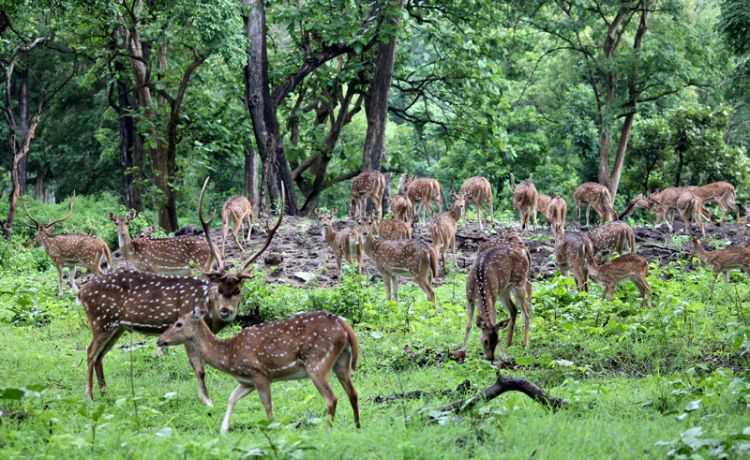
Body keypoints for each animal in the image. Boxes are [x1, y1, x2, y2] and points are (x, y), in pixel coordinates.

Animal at [80, 178, 284, 404]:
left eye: (238, 290)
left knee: (100, 355)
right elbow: (199, 369)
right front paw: (206, 401)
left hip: (117, 326)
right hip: (101, 320)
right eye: (219, 288)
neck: (209, 315)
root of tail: (81, 292)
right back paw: (89, 396)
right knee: (90, 352)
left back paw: (104, 392)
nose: (226, 311)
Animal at [157, 308, 360, 434]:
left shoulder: (259, 373)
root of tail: (344, 326)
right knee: (353, 393)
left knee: (332, 398)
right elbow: (232, 398)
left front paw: (272, 428)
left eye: (178, 324)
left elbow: (267, 405)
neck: (228, 355)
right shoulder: (247, 381)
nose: (160, 340)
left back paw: (327, 429)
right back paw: (358, 426)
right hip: (341, 362)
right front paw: (223, 429)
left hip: (317, 363)